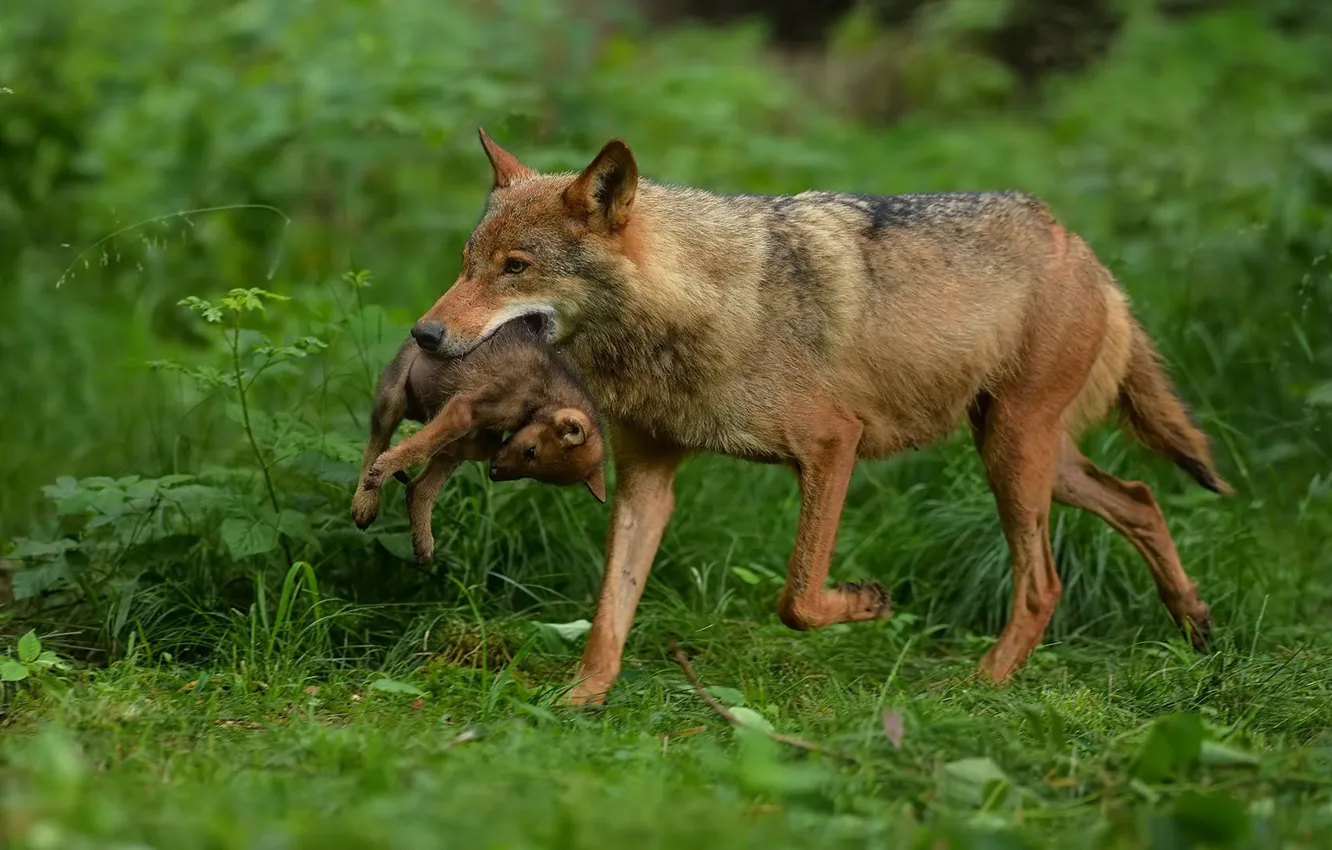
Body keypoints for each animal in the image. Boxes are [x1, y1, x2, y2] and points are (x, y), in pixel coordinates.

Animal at [352, 316, 607, 564]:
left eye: (543, 478)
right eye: (531, 452)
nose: (493, 474)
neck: (542, 394)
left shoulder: (478, 430)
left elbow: (457, 448)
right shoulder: (463, 411)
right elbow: (420, 446)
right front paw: (384, 469)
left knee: (417, 487)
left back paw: (423, 541)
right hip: (392, 400)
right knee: (374, 446)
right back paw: (364, 504)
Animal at [409, 128, 1233, 704]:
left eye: (516, 268)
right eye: (467, 262)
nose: (424, 334)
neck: (696, 308)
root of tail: (1082, 246)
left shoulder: (833, 446)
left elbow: (797, 600)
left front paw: (867, 604)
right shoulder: (648, 479)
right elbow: (610, 613)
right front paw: (578, 702)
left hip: (1012, 456)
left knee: (1044, 585)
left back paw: (978, 687)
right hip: (1028, 456)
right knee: (1141, 498)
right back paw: (1197, 628)